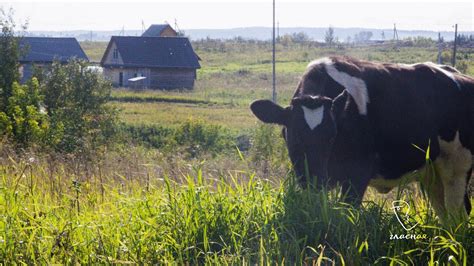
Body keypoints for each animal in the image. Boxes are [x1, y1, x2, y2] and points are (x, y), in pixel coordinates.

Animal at [250, 55, 472, 222]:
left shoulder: (358, 172)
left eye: (331, 137)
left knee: (458, 215)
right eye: (291, 136)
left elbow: (347, 212)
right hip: (432, 173)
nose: (314, 181)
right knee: (446, 216)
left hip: (458, 168)